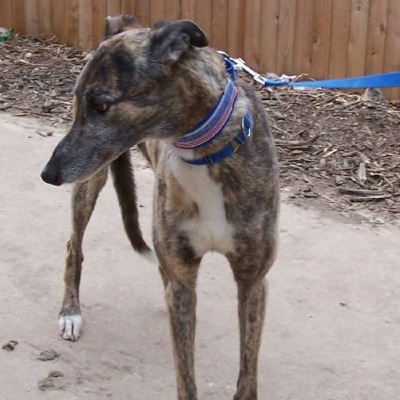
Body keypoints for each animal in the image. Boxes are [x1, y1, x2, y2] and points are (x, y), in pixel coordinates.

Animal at [41, 15, 280, 400]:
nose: (48, 174)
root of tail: (126, 21)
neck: (205, 150)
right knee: (73, 245)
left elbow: (247, 375)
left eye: (101, 105)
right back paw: (70, 312)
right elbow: (185, 378)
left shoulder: (252, 281)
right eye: (78, 100)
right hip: (91, 181)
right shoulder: (184, 281)